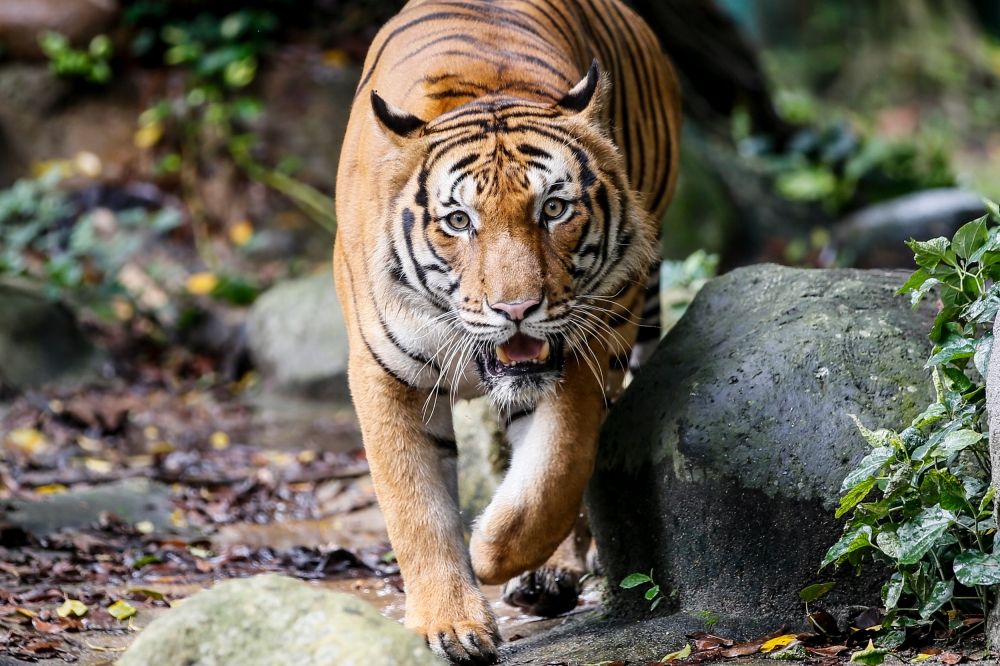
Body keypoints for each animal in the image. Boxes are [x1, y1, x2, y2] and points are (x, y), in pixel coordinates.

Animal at [332, 1, 684, 660]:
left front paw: (491, 551)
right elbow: (413, 504)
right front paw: (449, 625)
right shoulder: (383, 374)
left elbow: (554, 471)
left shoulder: (585, 351)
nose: (517, 308)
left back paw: (548, 576)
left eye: (554, 209)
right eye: (458, 221)